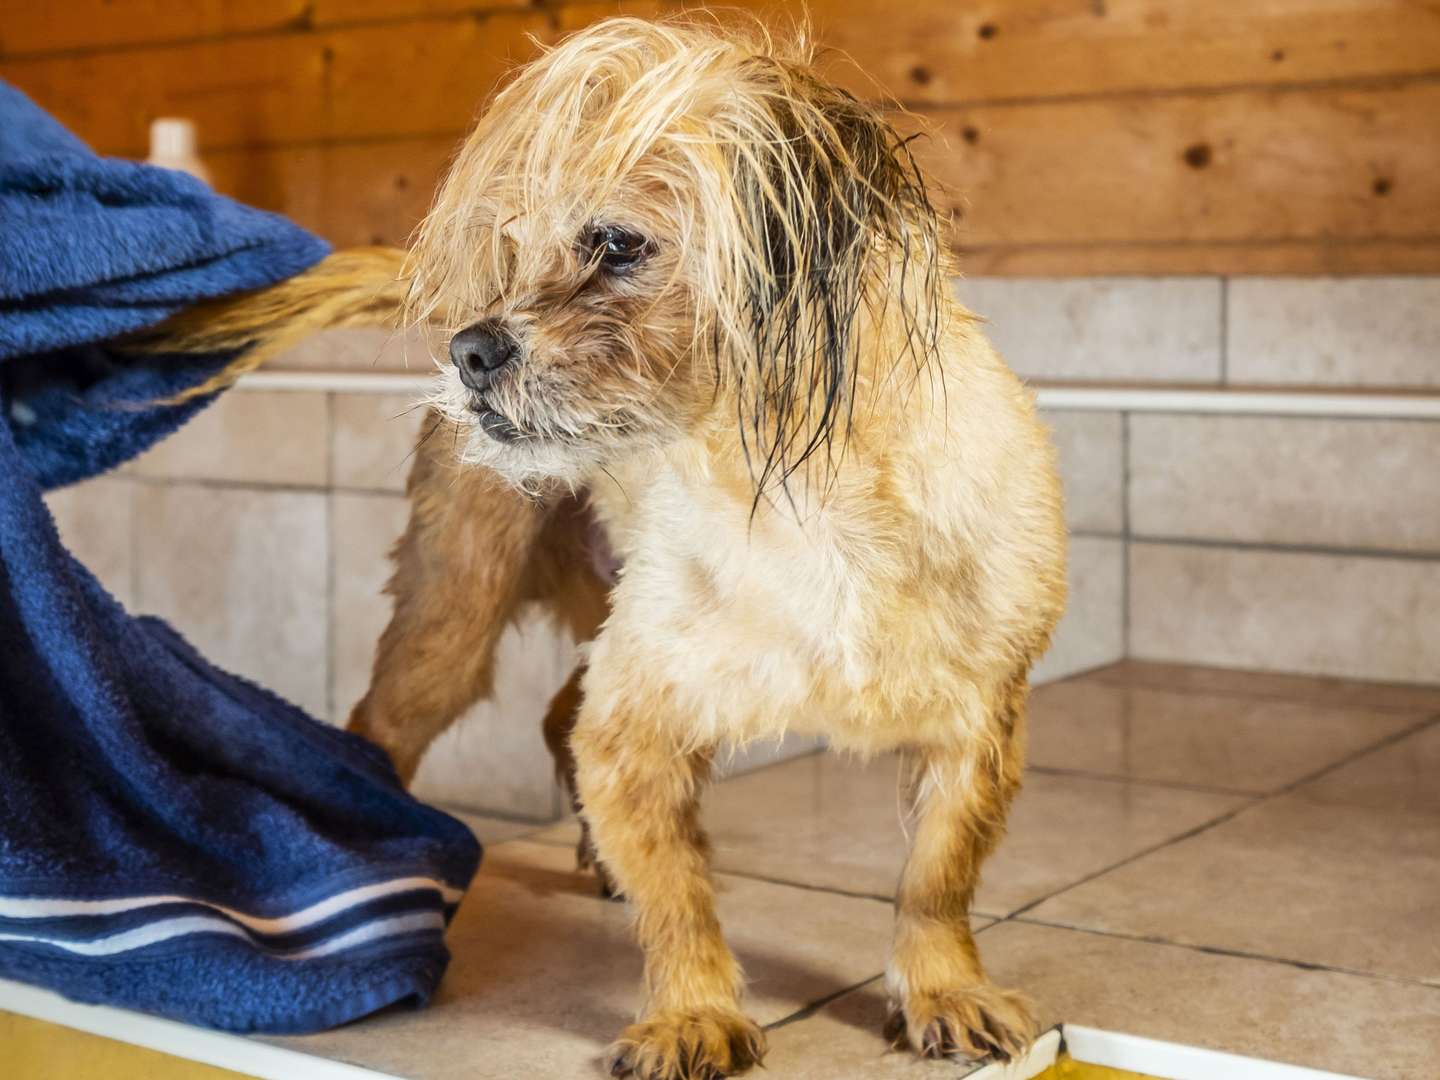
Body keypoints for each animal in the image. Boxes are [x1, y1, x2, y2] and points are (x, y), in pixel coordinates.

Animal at [171, 14, 1071, 1080]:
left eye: (616, 243)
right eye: (515, 253)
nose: (469, 350)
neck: (806, 503)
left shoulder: (979, 730)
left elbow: (936, 878)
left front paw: (944, 990)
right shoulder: (633, 724)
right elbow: (680, 902)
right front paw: (692, 1012)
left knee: (557, 710)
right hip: (451, 624)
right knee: (385, 729)